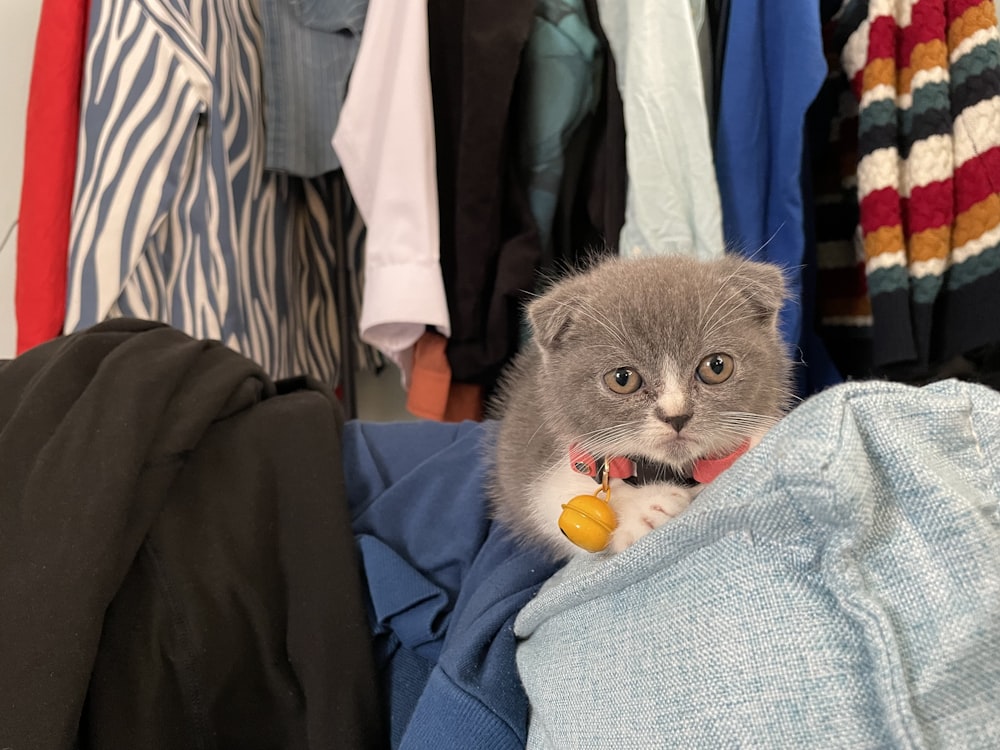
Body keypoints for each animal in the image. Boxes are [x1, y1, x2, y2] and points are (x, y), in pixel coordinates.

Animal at [488, 256, 792, 560]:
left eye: (717, 366)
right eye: (622, 378)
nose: (677, 416)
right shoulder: (539, 466)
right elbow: (552, 501)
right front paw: (644, 510)